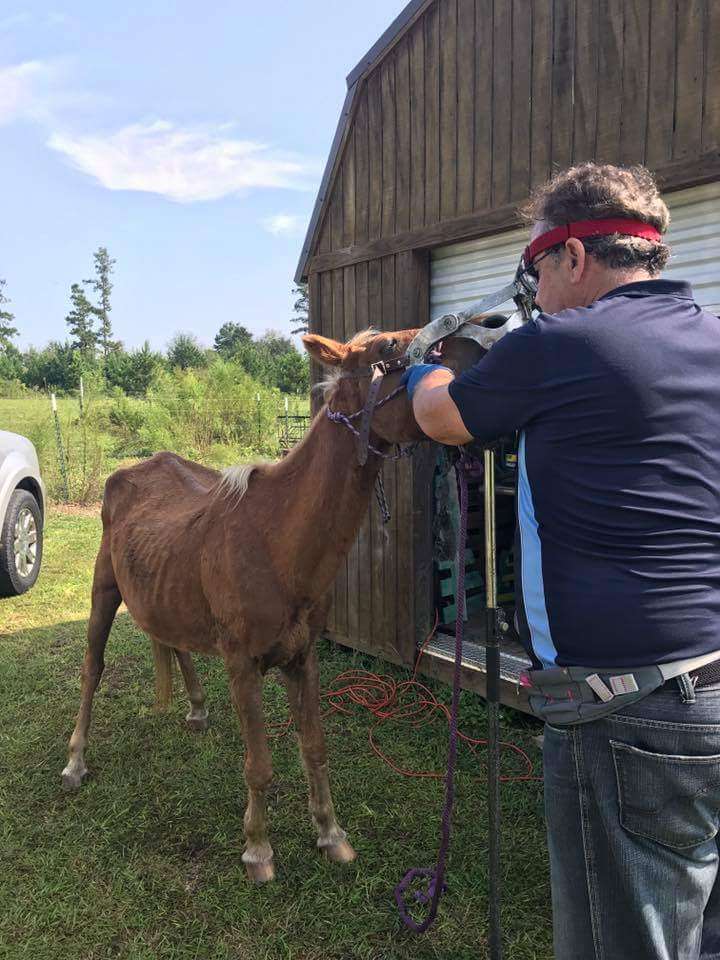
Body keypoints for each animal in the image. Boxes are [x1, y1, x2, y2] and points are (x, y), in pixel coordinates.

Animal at [62, 326, 436, 880]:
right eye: (388, 347)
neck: (278, 541)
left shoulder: (303, 659)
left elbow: (315, 748)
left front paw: (331, 833)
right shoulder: (242, 665)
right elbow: (259, 767)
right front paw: (258, 849)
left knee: (174, 642)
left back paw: (196, 709)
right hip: (103, 591)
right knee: (93, 667)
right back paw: (75, 761)